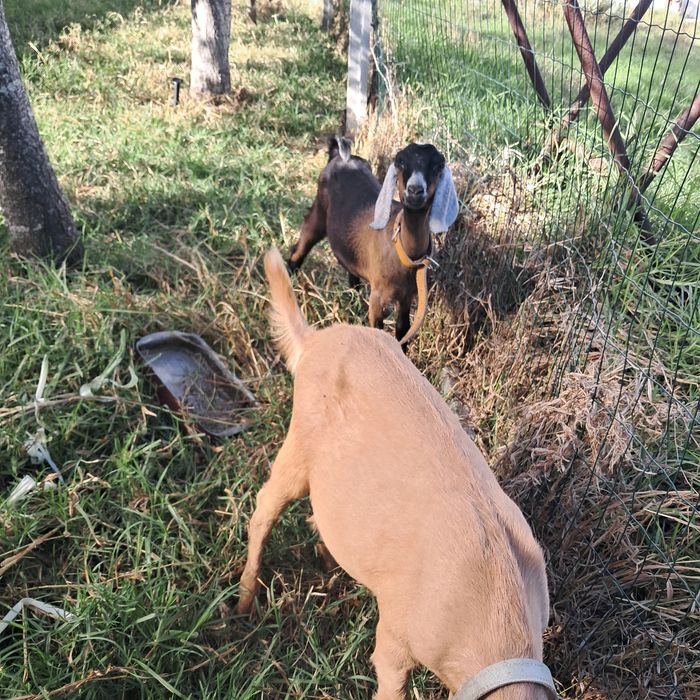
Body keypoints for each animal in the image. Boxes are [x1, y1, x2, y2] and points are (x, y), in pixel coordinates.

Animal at [236, 247, 557, 700]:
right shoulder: (397, 634)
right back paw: (243, 602)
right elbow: (389, 674)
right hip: (299, 441)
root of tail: (314, 340)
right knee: (265, 506)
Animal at [288, 138, 459, 344]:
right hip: (318, 211)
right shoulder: (378, 296)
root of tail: (340, 156)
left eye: (438, 164)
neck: (402, 251)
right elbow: (378, 330)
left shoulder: (407, 296)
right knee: (301, 247)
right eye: (400, 161)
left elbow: (403, 330)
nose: (414, 190)